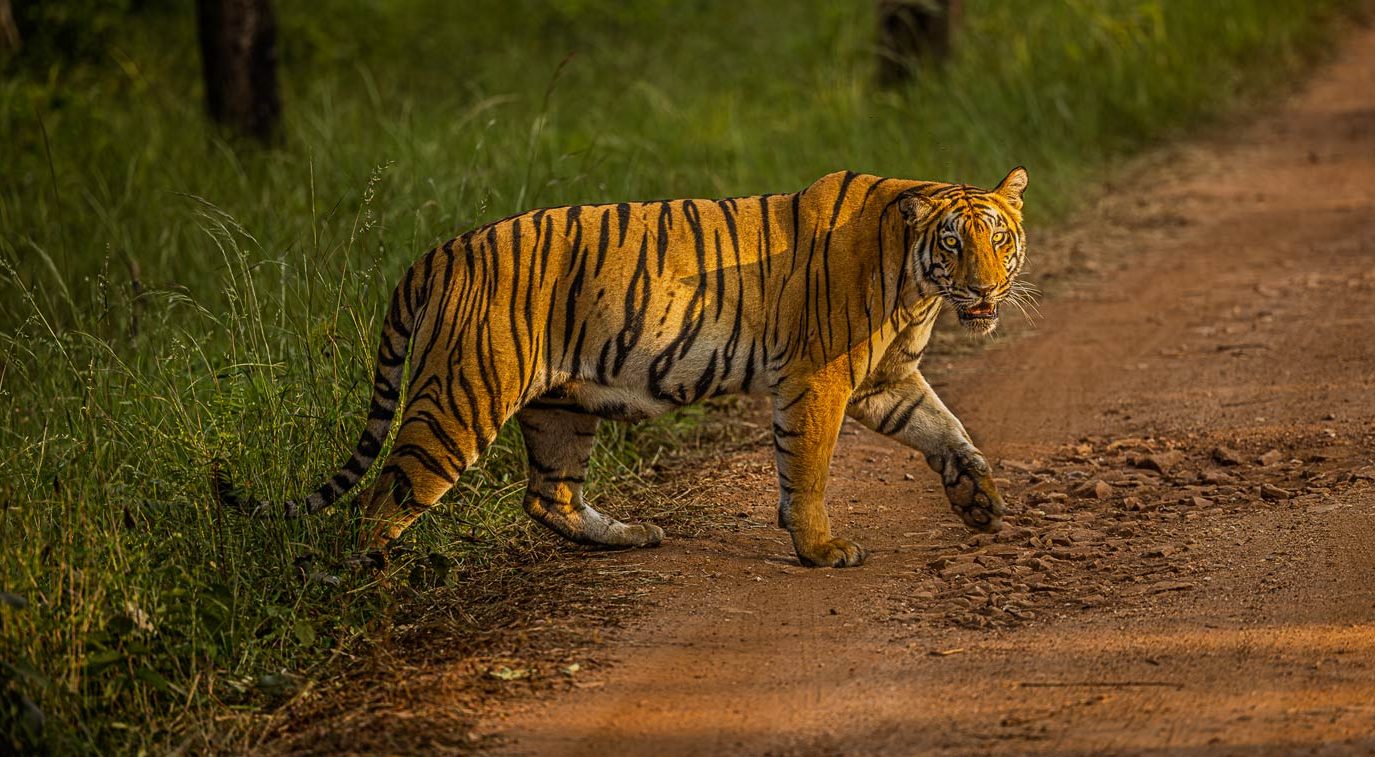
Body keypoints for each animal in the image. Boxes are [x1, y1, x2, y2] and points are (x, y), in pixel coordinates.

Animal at [216, 167, 1029, 568]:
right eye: (953, 244)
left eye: (998, 240)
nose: (987, 291)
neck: (917, 286)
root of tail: (440, 251)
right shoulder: (819, 379)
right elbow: (808, 470)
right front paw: (820, 548)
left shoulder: (885, 381)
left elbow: (946, 429)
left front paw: (979, 501)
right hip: (458, 401)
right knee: (380, 502)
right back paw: (372, 583)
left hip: (559, 407)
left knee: (546, 496)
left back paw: (631, 535)